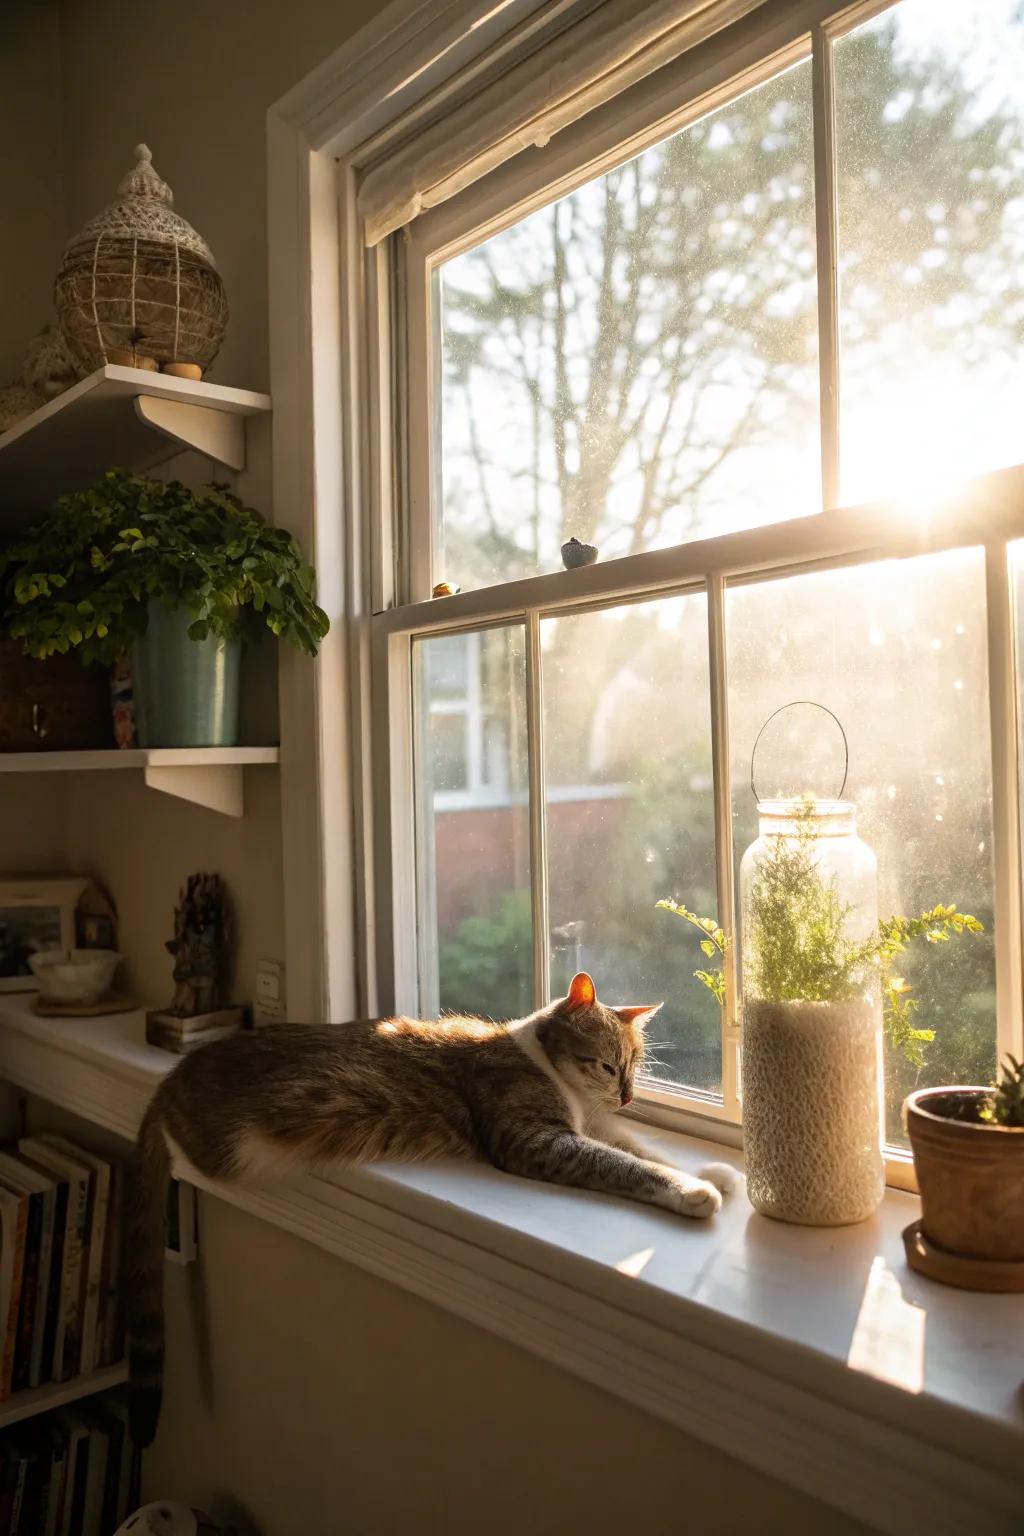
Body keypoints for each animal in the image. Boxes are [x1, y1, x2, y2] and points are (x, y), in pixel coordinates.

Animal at [128, 976, 736, 1443]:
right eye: (609, 1066)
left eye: (636, 1065)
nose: (630, 1095)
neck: (545, 1065)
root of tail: (173, 1078)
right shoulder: (536, 1139)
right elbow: (623, 1162)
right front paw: (694, 1191)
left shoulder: (593, 1124)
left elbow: (639, 1146)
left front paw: (719, 1172)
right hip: (231, 1144)